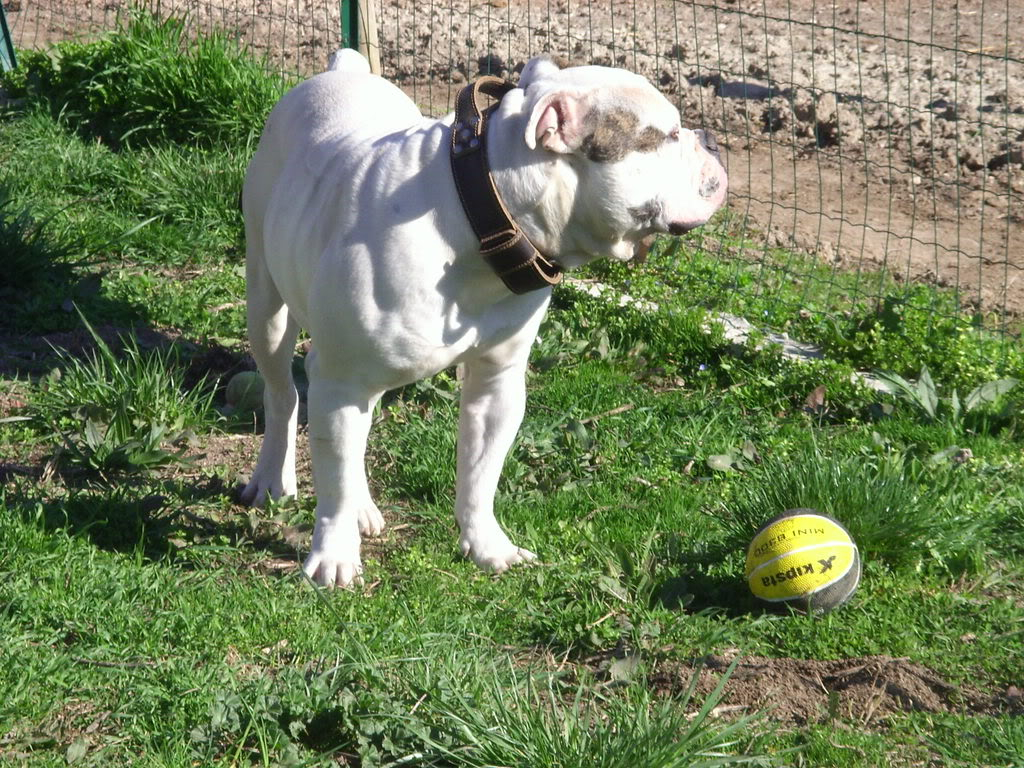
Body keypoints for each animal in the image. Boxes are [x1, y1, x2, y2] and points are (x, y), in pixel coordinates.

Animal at [239, 49, 724, 589]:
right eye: (669, 134)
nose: (710, 139)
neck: (484, 213)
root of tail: (342, 70)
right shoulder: (342, 379)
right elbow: (335, 482)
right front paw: (334, 556)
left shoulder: (497, 382)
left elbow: (479, 474)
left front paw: (487, 546)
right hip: (268, 307)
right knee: (284, 395)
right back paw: (272, 477)